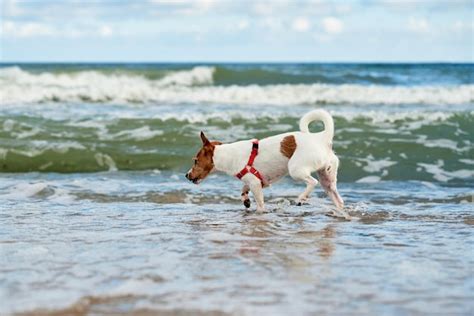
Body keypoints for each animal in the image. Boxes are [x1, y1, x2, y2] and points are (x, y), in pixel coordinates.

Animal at [185, 109, 344, 212]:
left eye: (195, 161)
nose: (186, 175)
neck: (227, 154)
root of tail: (321, 138)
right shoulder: (255, 181)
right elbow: (243, 190)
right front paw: (246, 200)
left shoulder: (256, 184)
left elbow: (260, 205)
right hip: (327, 178)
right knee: (337, 198)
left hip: (296, 169)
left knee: (312, 182)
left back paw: (301, 198)